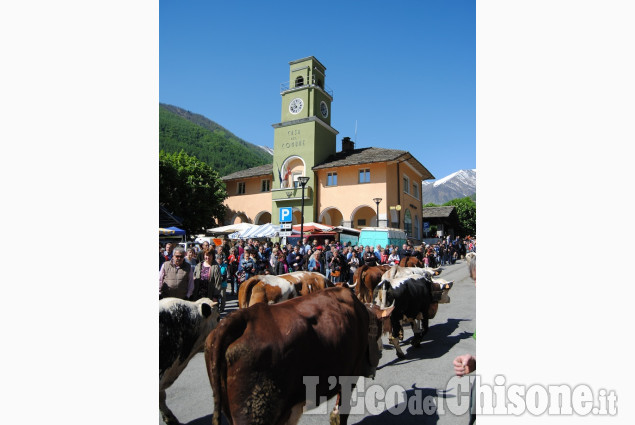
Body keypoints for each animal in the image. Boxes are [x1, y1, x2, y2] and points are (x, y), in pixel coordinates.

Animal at [205, 284, 392, 424]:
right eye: (380, 329)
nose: (381, 353)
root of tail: (244, 318)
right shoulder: (349, 377)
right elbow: (340, 415)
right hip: (256, 411)